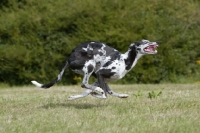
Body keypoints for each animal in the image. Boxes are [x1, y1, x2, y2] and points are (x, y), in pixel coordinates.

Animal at [31, 39, 159, 100]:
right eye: (145, 42)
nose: (158, 42)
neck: (124, 60)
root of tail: (69, 57)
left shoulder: (99, 77)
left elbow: (101, 91)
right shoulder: (100, 73)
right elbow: (105, 94)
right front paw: (97, 93)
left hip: (92, 71)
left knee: (88, 87)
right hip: (90, 65)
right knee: (84, 84)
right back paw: (97, 90)